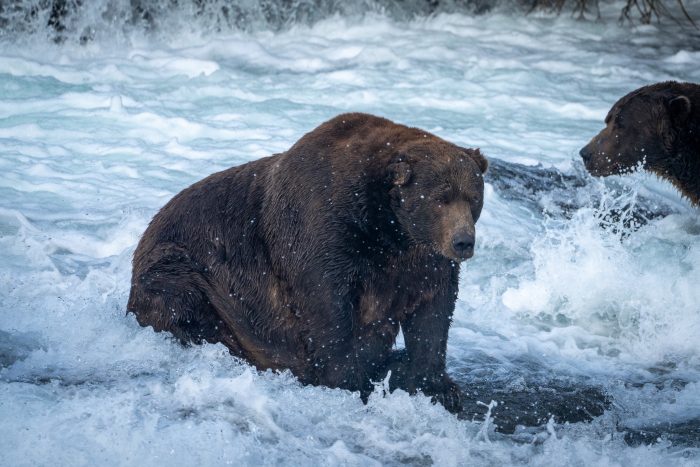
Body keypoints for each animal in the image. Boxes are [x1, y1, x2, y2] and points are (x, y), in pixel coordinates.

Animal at [127, 113, 486, 414]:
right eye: (440, 198)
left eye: (473, 198)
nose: (463, 241)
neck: (388, 230)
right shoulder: (326, 229)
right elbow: (327, 306)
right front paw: (347, 380)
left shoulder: (422, 261)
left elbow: (433, 312)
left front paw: (439, 386)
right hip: (186, 266)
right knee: (181, 298)